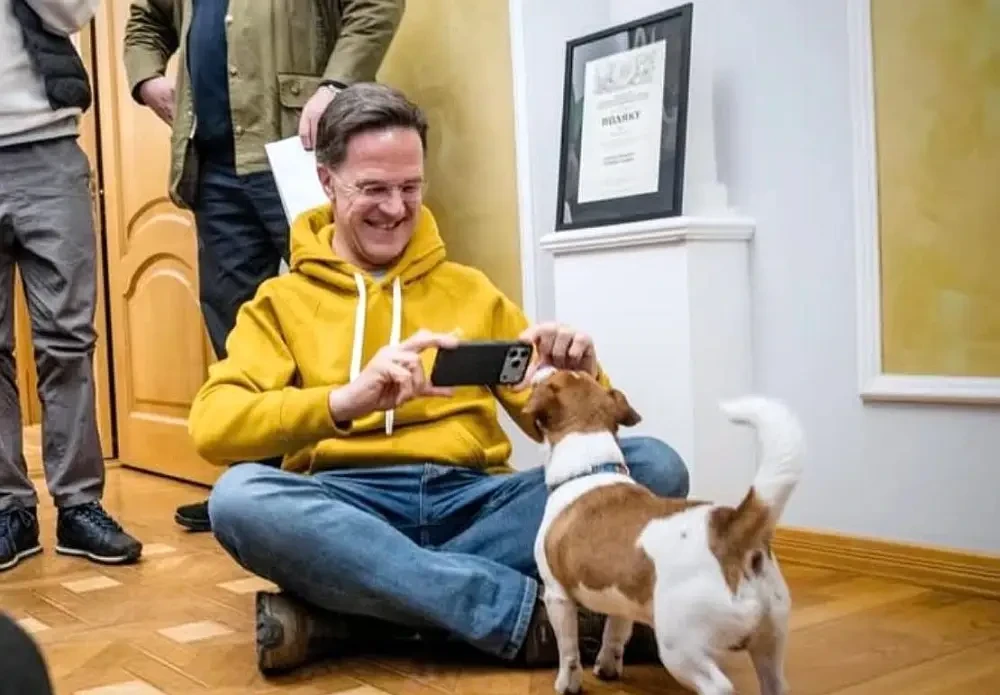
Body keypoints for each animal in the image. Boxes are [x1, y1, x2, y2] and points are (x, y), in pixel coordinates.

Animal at [525, 368, 804, 695]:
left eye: (556, 375)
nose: (541, 365)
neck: (589, 469)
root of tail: (730, 529)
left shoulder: (556, 594)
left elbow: (568, 650)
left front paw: (567, 684)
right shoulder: (622, 599)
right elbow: (614, 633)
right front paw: (607, 666)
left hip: (679, 645)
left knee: (718, 685)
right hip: (771, 640)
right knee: (775, 682)